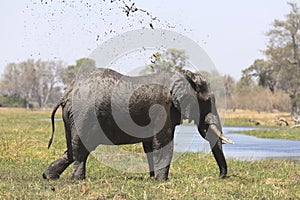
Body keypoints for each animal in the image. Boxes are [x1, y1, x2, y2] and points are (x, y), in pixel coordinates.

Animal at [42, 67, 234, 181]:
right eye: (207, 101)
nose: (220, 176)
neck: (183, 75)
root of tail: (66, 93)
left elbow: (149, 145)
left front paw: (152, 178)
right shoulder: (162, 108)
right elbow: (163, 142)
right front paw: (162, 181)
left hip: (72, 116)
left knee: (73, 150)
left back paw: (48, 176)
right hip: (83, 114)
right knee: (82, 149)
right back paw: (77, 180)